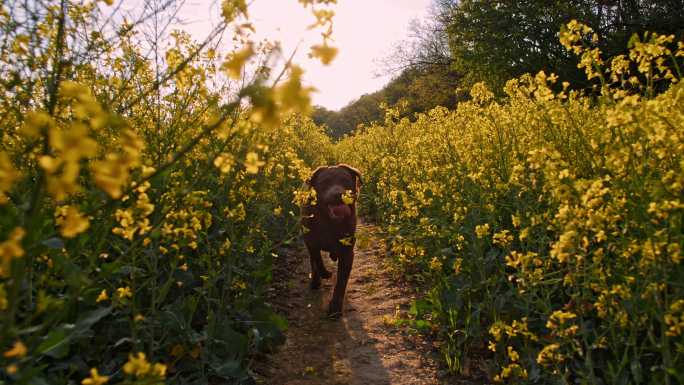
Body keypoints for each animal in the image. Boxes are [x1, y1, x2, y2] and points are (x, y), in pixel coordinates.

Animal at [300, 164, 360, 316]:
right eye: (325, 182)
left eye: (345, 180)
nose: (339, 194)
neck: (329, 222)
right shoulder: (310, 241)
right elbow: (317, 258)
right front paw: (325, 273)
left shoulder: (347, 252)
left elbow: (341, 282)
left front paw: (335, 307)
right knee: (313, 260)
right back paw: (315, 281)